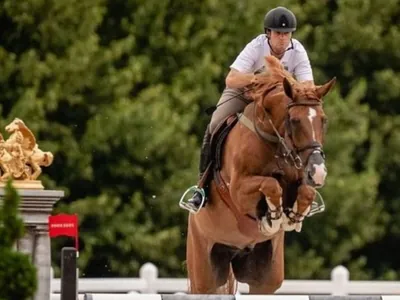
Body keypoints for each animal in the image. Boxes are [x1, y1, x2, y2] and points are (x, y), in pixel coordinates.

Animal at [186, 55, 336, 294]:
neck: (274, 140)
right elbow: (270, 184)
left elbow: (306, 192)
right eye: (294, 120)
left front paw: (292, 217)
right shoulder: (238, 190)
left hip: (264, 277)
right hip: (203, 272)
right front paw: (273, 217)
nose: (318, 172)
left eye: (323, 120)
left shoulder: (300, 179)